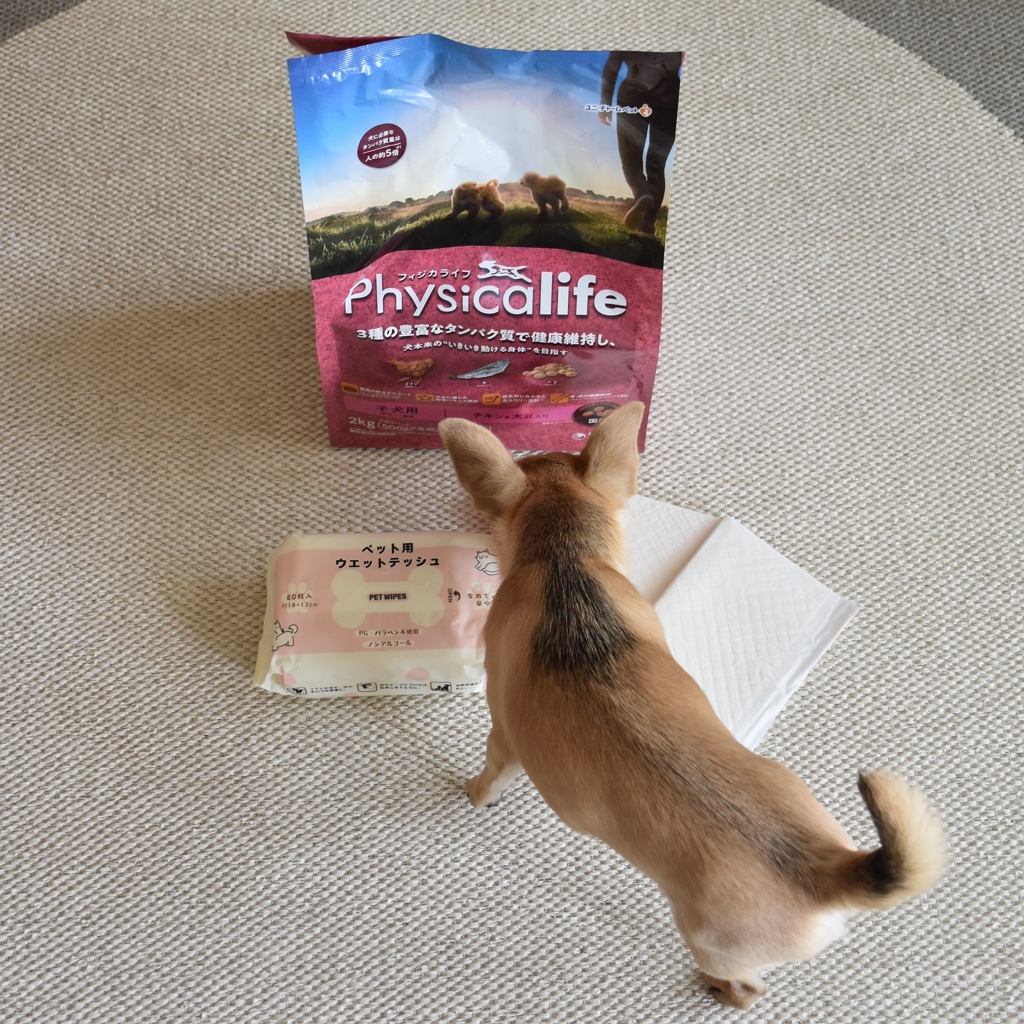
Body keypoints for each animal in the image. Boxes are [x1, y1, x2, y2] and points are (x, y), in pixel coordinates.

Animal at [437, 403, 945, 1009]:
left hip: (710, 940)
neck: (567, 561)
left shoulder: (503, 736)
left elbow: (491, 773)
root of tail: (827, 872)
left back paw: (721, 993)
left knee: (747, 985)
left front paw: (475, 795)